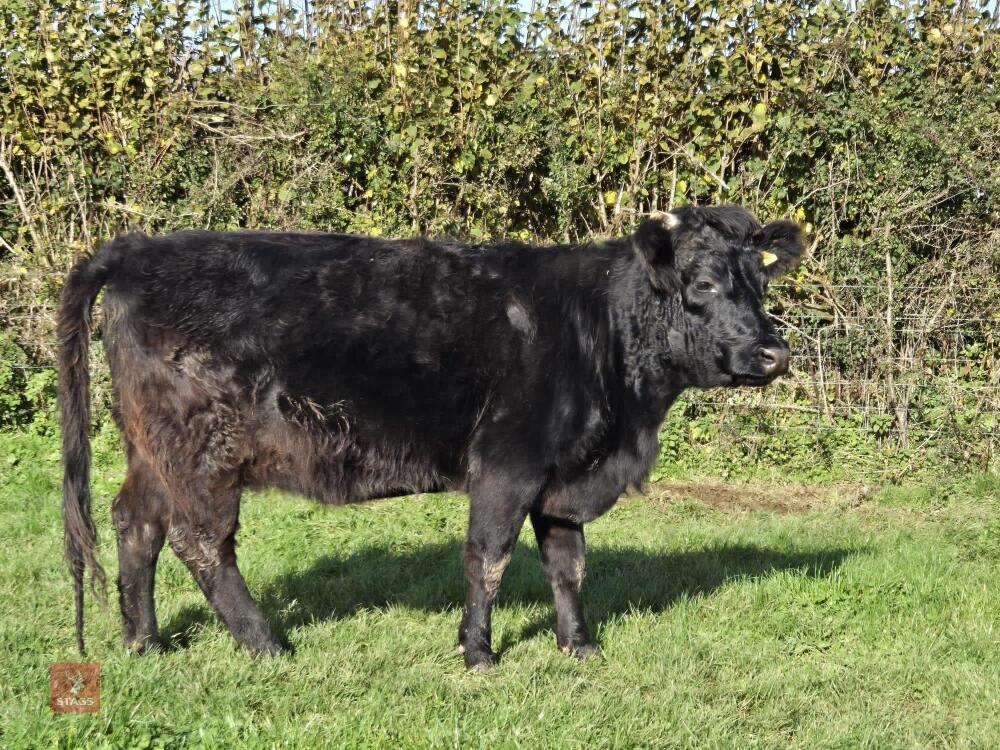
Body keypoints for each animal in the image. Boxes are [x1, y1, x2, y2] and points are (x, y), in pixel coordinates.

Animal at [58, 204, 804, 668]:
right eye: (702, 282)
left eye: (761, 281)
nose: (773, 354)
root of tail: (136, 249)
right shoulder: (507, 463)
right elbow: (489, 559)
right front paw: (478, 651)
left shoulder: (564, 476)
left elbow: (568, 565)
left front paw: (579, 646)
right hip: (202, 451)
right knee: (201, 540)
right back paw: (266, 644)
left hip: (151, 450)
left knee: (136, 523)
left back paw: (144, 643)